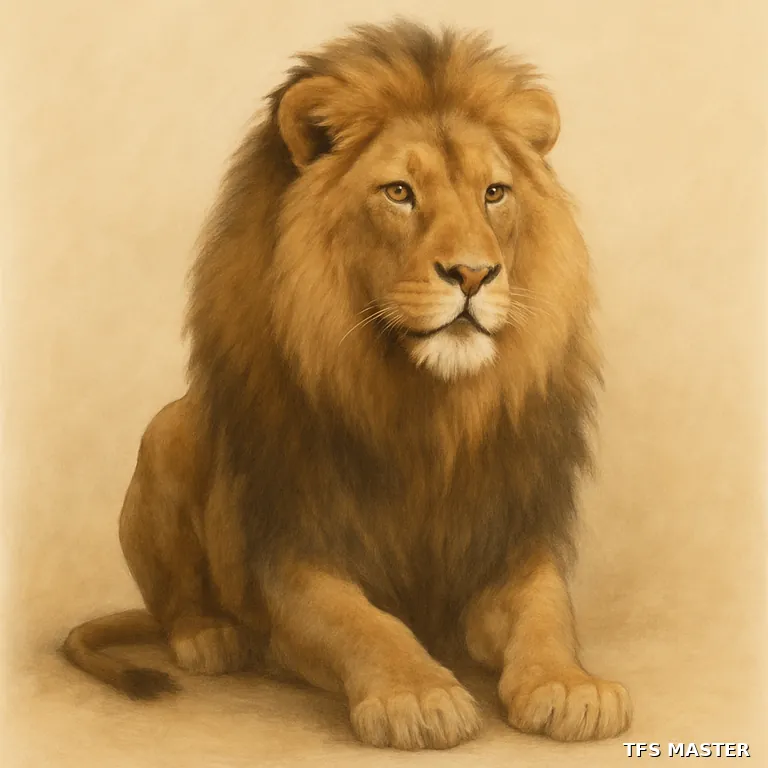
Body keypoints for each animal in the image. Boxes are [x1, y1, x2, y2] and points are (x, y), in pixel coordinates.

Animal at [62, 20, 632, 750]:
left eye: (494, 194)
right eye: (399, 193)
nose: (474, 274)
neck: (428, 409)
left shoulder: (510, 535)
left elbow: (546, 609)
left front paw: (570, 686)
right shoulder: (294, 552)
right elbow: (363, 623)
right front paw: (418, 696)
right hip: (167, 431)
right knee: (171, 602)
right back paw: (209, 637)